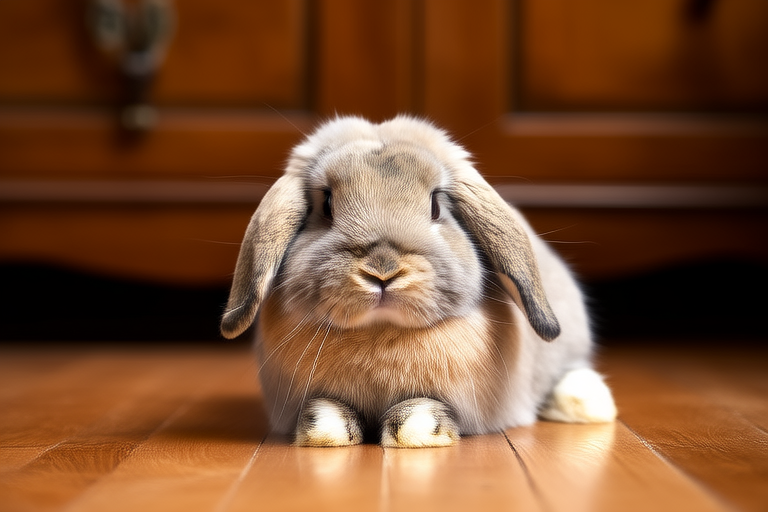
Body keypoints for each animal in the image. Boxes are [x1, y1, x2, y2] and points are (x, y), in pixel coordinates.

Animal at [220, 115, 617, 448]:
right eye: (326, 205)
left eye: (436, 205)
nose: (382, 271)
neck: (380, 332)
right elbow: (326, 406)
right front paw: (323, 432)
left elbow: (424, 405)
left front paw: (417, 432)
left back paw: (589, 404)